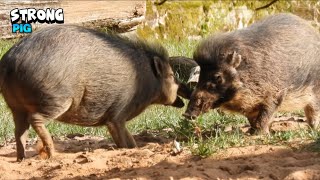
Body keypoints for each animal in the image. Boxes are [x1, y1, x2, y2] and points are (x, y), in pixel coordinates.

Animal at [0, 24, 185, 161]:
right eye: (170, 76)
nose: (182, 101)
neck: (146, 81)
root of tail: (10, 61)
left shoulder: (113, 117)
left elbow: (126, 139)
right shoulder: (118, 113)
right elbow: (124, 138)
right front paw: (131, 149)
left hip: (15, 106)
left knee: (19, 131)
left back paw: (22, 159)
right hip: (56, 98)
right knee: (35, 119)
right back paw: (52, 155)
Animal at [182, 13, 320, 134]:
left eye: (217, 77)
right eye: (200, 75)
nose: (186, 114)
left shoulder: (275, 93)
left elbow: (265, 115)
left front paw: (259, 134)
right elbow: (252, 119)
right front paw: (251, 132)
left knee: (313, 110)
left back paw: (313, 129)